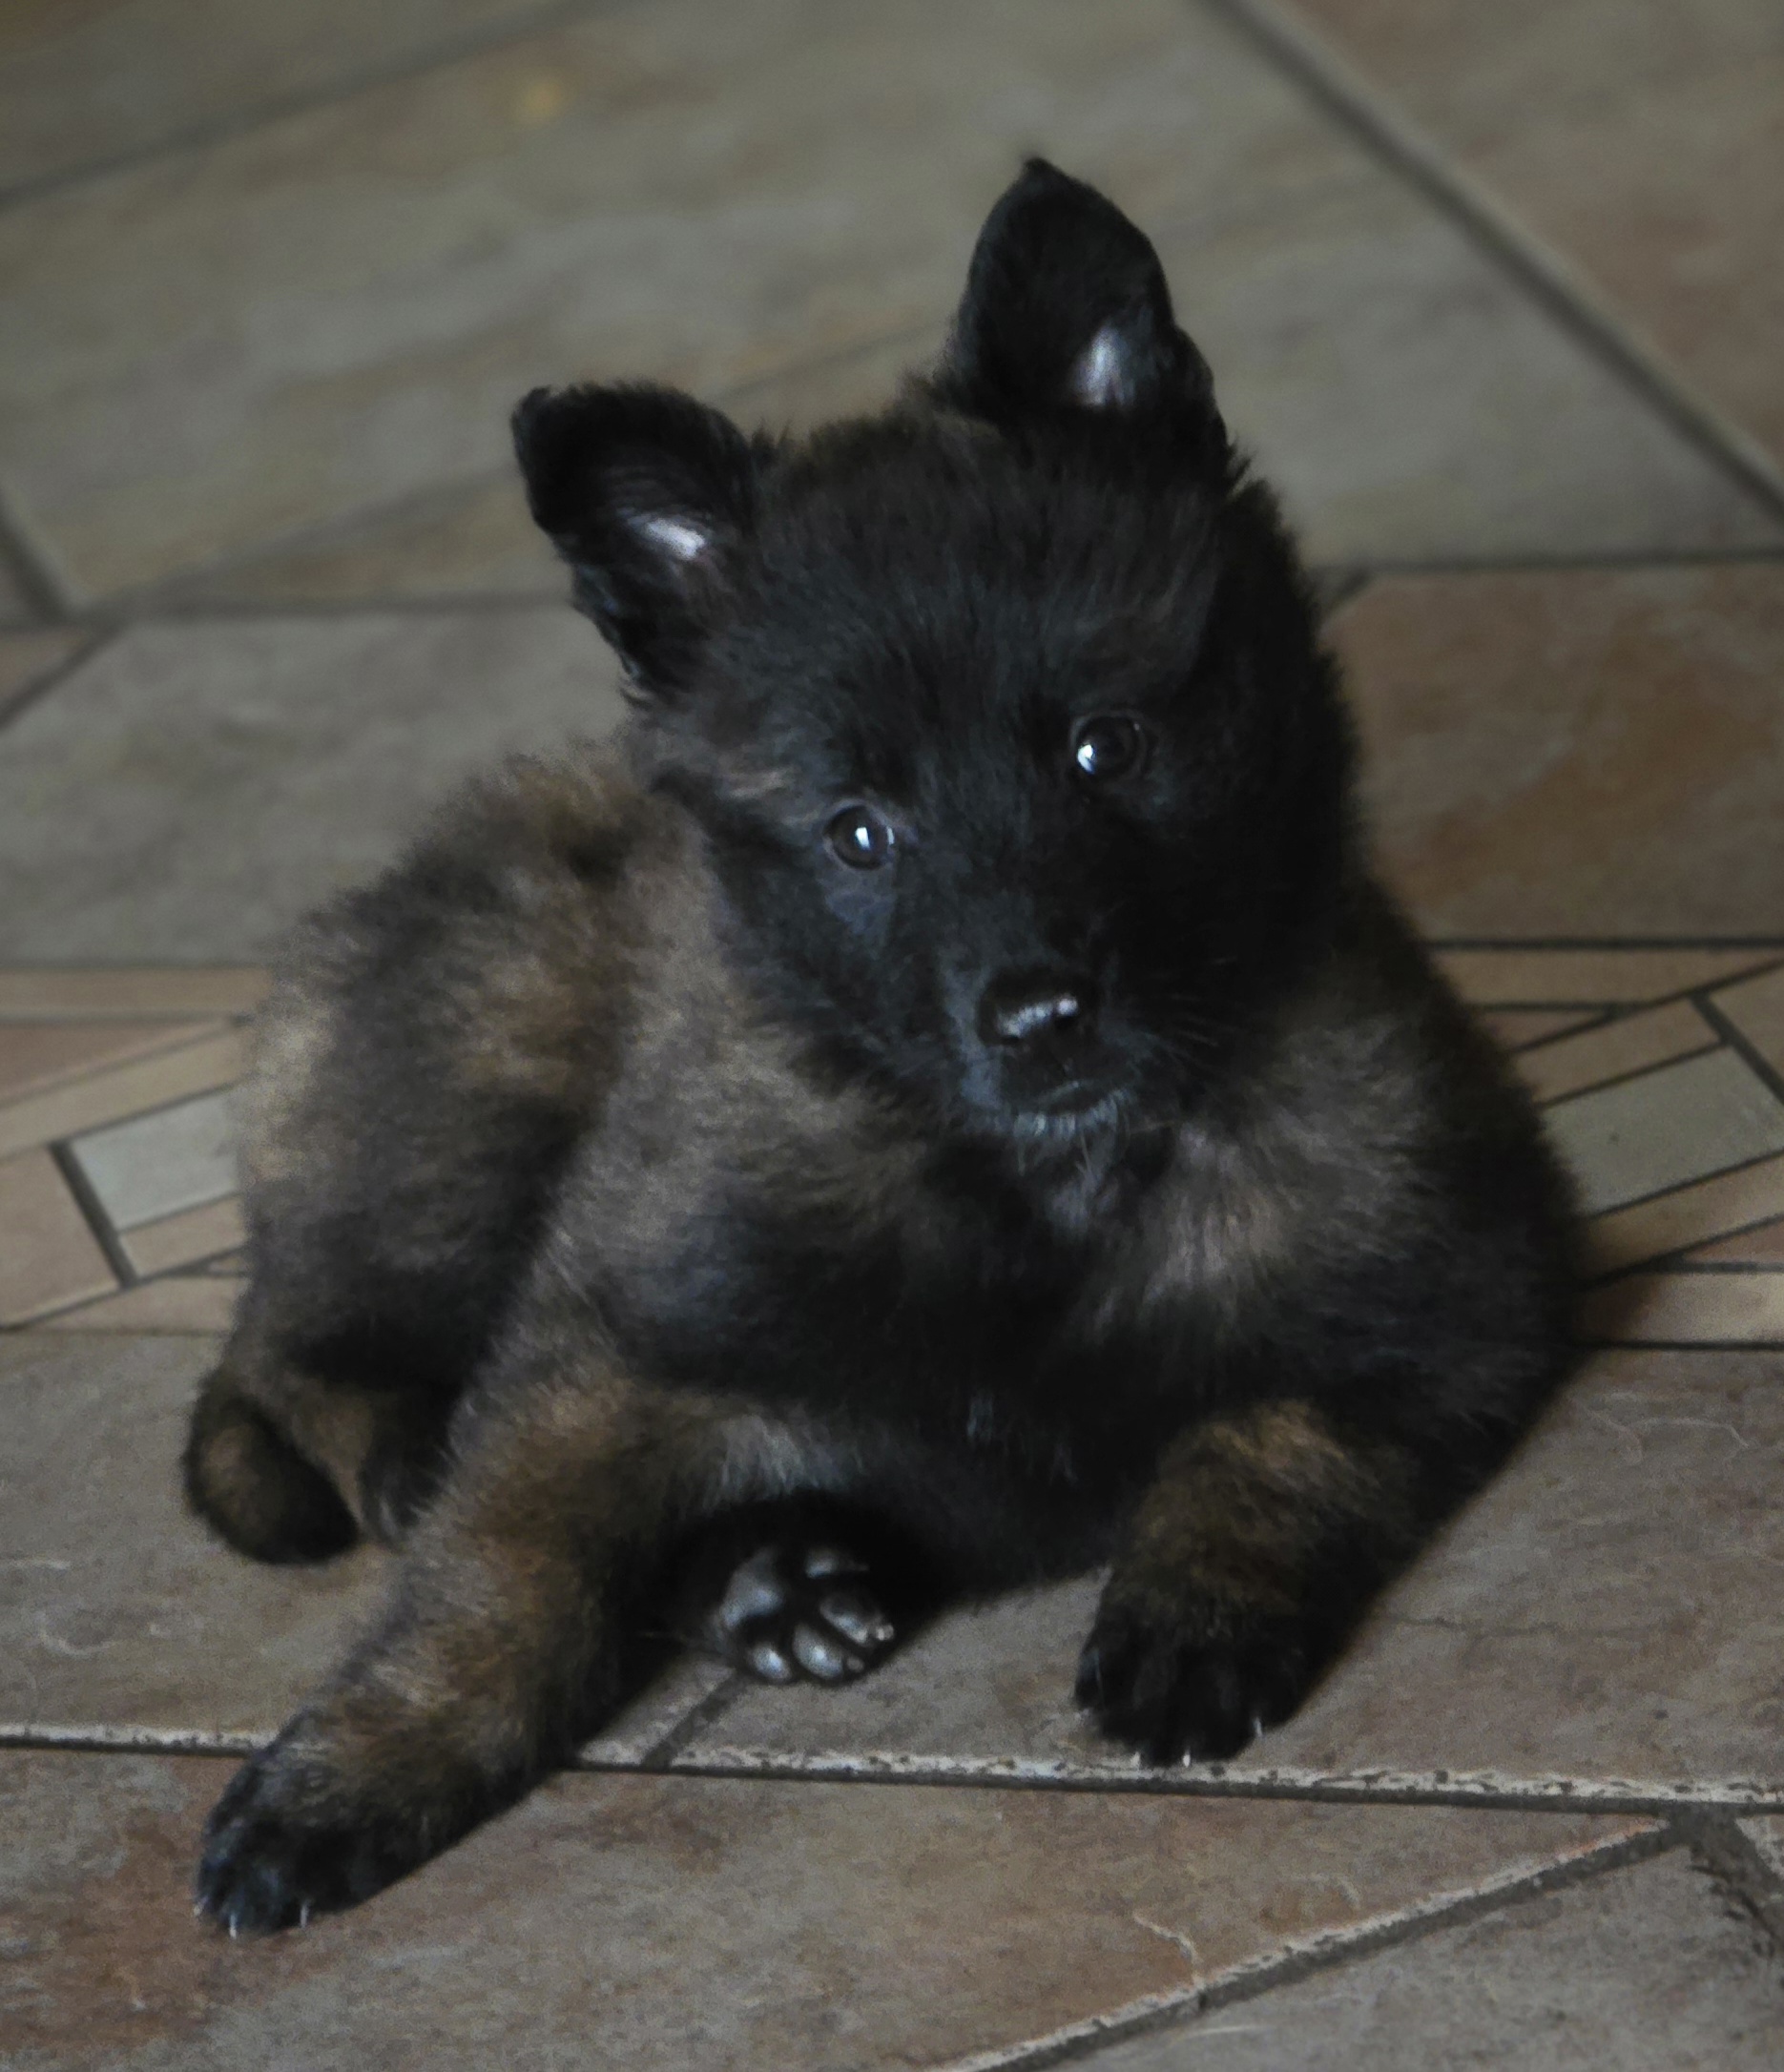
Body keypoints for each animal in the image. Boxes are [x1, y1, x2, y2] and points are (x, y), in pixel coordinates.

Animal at [183, 159, 1575, 1934]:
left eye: (1103, 746)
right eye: (860, 832)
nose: (1042, 1016)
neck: (1048, 1184)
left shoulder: (1467, 1292)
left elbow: (1277, 1428)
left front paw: (1192, 1603)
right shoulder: (604, 1348)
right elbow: (498, 1580)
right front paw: (356, 1766)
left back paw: (781, 1572)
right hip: (483, 1073)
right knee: (301, 1353)